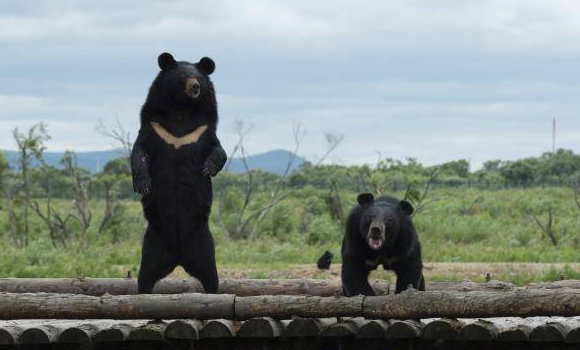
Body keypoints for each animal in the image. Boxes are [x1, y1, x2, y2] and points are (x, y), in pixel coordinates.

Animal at [130, 52, 228, 292]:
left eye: (199, 78)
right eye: (183, 76)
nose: (195, 87)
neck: (182, 111)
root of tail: (178, 257)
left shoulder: (202, 131)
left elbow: (219, 149)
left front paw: (208, 168)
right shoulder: (155, 127)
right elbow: (139, 151)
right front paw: (142, 184)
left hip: (203, 243)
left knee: (211, 276)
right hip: (152, 244)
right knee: (144, 276)